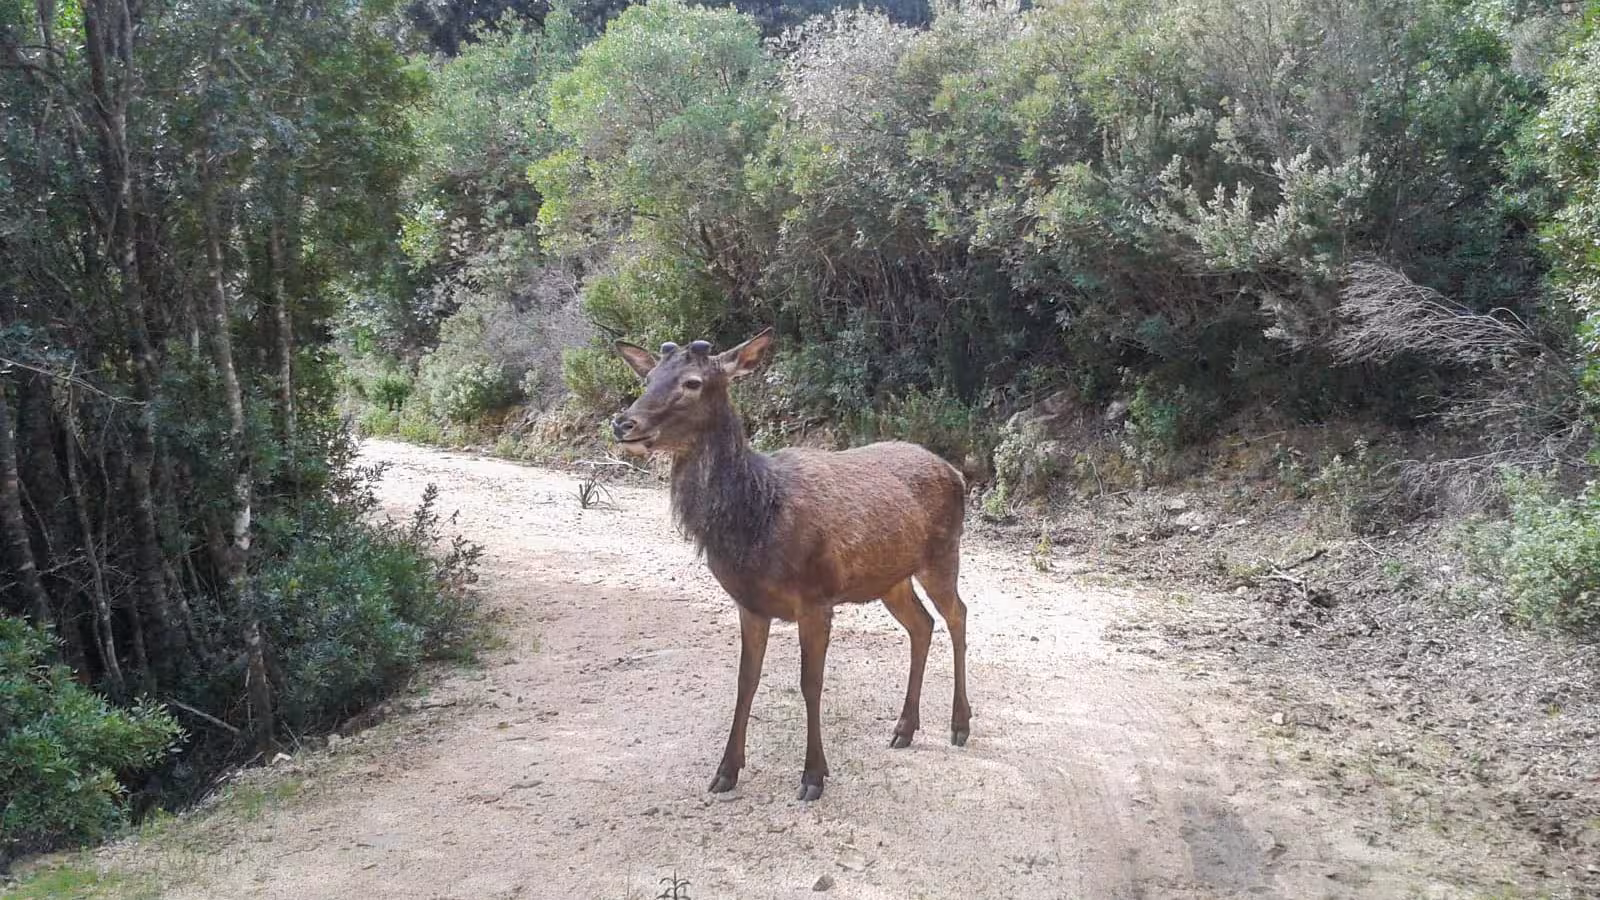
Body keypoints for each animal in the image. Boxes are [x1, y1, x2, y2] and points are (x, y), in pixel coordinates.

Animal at [610, 328, 972, 802]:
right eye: (648, 376)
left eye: (692, 382)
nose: (624, 423)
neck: (759, 516)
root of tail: (958, 473)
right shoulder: (750, 604)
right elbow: (746, 681)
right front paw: (726, 771)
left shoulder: (816, 598)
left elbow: (810, 683)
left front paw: (813, 776)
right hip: (890, 579)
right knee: (922, 625)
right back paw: (904, 729)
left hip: (943, 554)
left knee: (958, 616)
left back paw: (960, 725)